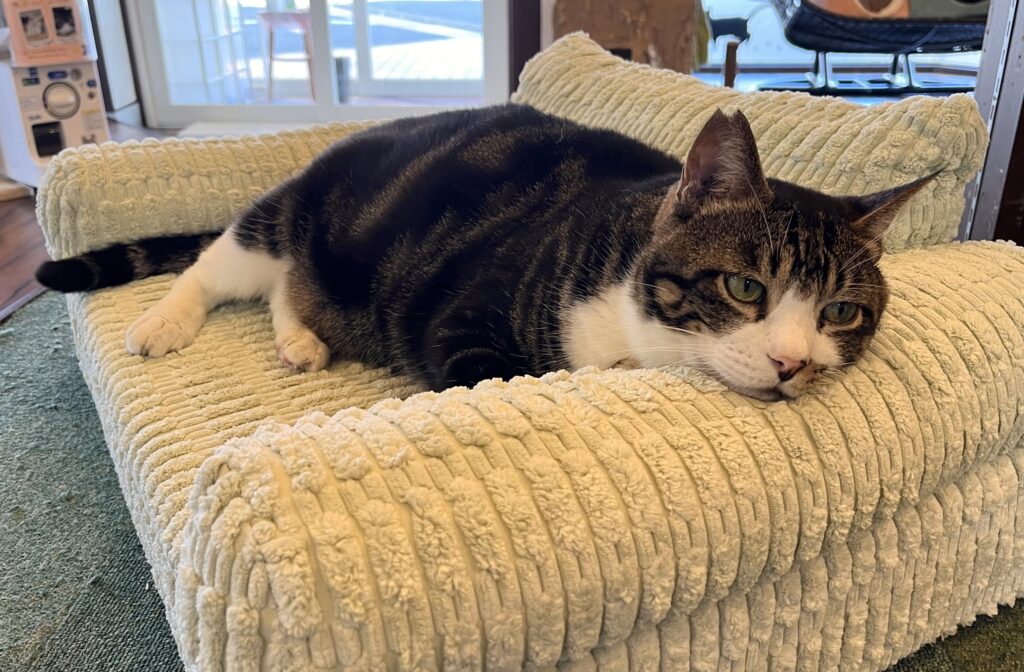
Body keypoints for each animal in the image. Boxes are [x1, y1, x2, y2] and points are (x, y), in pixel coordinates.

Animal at [36, 105, 932, 400]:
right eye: (746, 289)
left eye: (841, 312)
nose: (795, 363)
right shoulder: (463, 327)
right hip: (289, 216)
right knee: (220, 267)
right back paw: (162, 324)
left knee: (285, 292)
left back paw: (302, 340)